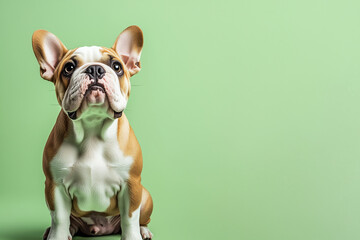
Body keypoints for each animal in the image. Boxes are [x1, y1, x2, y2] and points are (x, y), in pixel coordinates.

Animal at [31, 25, 153, 240]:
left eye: (117, 66)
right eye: (69, 68)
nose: (95, 68)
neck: (92, 129)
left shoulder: (131, 184)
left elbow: (130, 218)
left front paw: (133, 235)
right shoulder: (55, 186)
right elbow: (59, 218)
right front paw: (57, 236)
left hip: (145, 196)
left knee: (140, 218)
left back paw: (144, 230)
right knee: (67, 222)